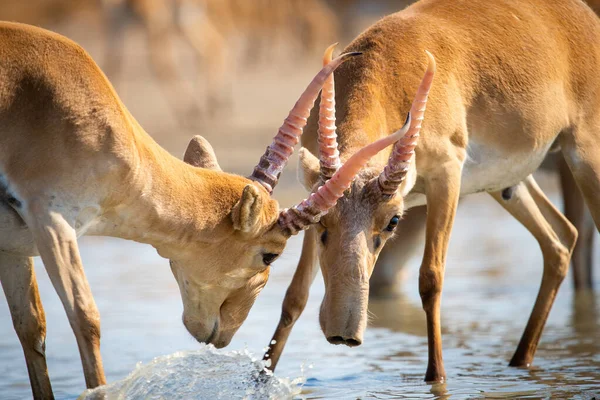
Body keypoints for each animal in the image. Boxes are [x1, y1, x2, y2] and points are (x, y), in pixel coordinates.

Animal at [0, 22, 418, 400]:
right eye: (269, 254)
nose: (222, 334)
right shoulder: (51, 220)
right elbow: (86, 318)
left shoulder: (15, 248)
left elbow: (31, 327)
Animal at [264, 0, 600, 382]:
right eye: (320, 220)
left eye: (394, 221)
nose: (344, 333)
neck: (387, 73)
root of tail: (583, 16)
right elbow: (295, 295)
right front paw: (261, 377)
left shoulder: (447, 177)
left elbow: (431, 278)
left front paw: (436, 379)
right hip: (508, 184)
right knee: (561, 239)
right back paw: (519, 361)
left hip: (584, 156)